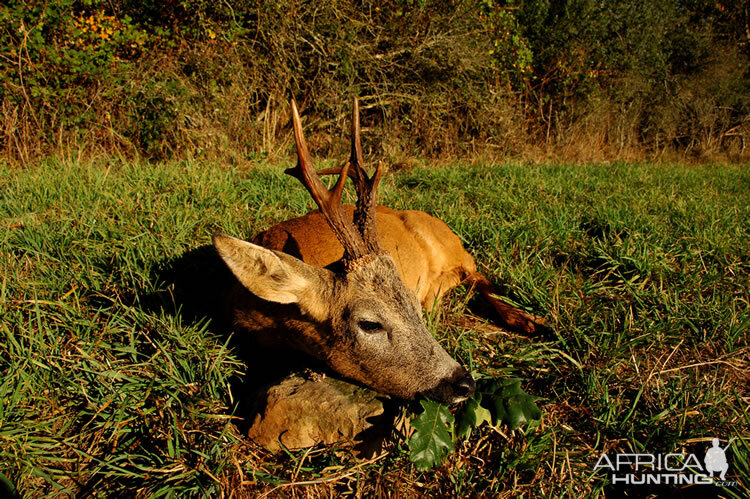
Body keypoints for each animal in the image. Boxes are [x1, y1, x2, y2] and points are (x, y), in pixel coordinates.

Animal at [214, 98, 544, 406]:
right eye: (370, 324)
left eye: (413, 306)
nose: (464, 383)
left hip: (452, 247)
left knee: (475, 273)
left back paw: (523, 319)